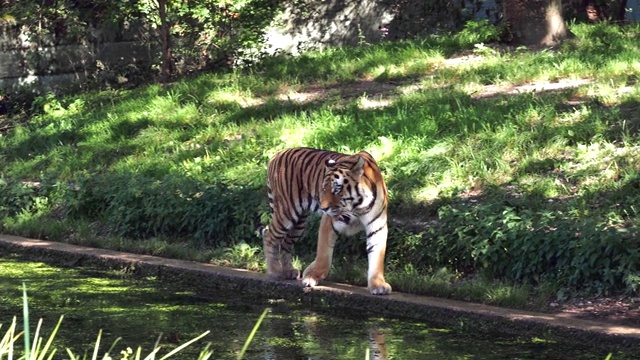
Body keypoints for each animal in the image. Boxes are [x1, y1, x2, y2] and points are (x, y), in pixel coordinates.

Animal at [260, 146, 390, 296]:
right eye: (323, 189)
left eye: (337, 189)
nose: (323, 208)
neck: (359, 206)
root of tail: (277, 155)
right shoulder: (330, 221)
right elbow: (324, 253)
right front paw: (311, 277)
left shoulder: (377, 225)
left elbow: (377, 256)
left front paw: (378, 285)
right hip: (287, 212)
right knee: (269, 235)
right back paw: (275, 271)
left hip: (299, 222)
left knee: (286, 243)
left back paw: (288, 272)